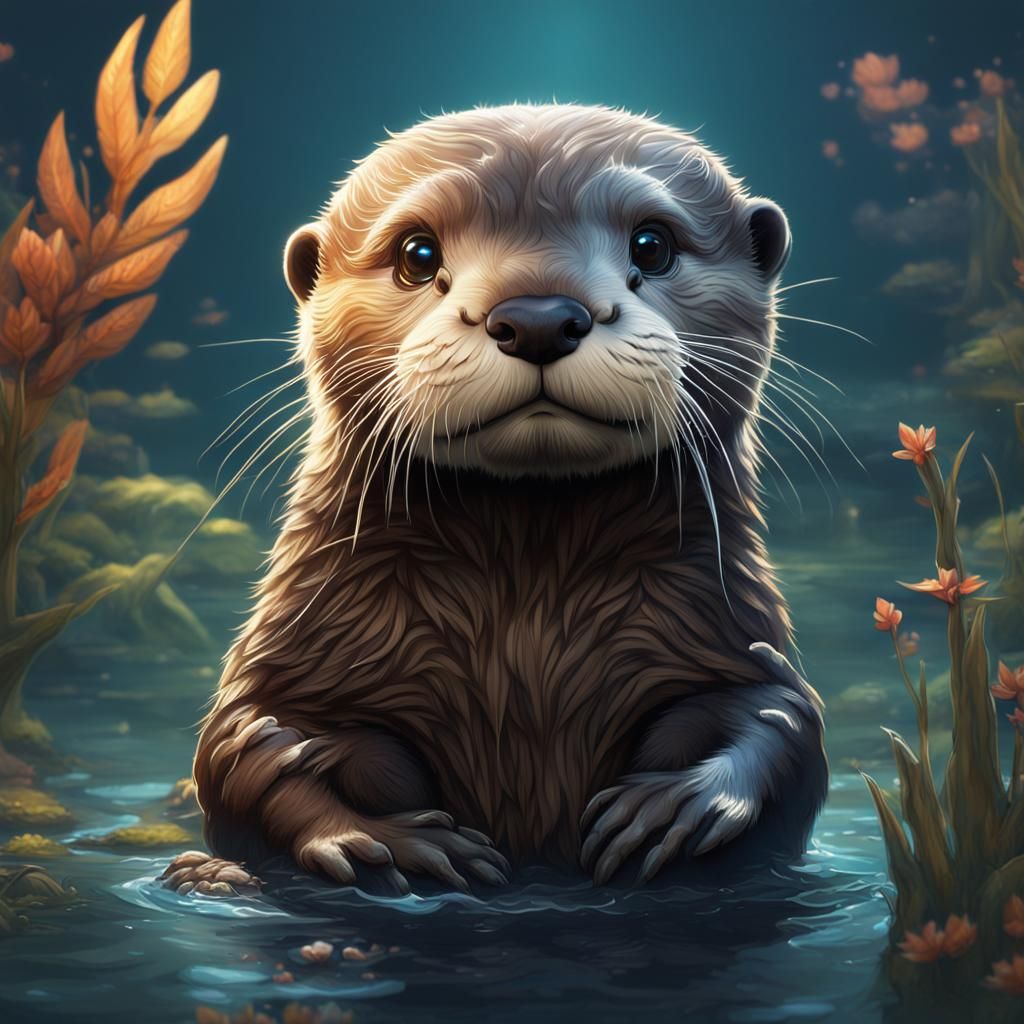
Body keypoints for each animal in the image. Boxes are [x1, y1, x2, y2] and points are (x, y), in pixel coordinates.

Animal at [181, 104, 827, 893]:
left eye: (653, 243)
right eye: (417, 253)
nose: (542, 316)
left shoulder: (725, 629)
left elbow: (783, 719)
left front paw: (683, 805)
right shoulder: (302, 649)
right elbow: (242, 751)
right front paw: (386, 841)